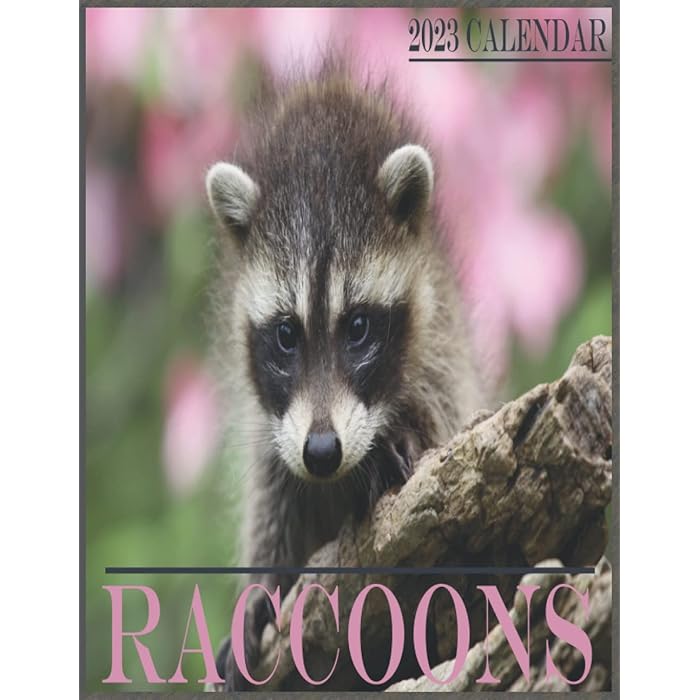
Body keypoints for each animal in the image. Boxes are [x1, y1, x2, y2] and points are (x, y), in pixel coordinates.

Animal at [206, 61, 484, 689]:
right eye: (286, 334)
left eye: (357, 327)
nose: (322, 451)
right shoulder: (275, 426)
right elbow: (273, 496)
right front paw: (260, 588)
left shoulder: (444, 349)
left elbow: (449, 419)